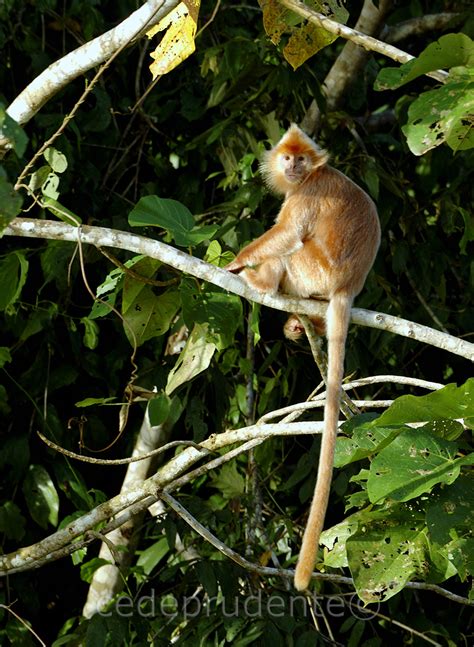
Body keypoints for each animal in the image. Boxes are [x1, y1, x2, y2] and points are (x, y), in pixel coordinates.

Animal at [226, 123, 382, 592]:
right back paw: (302, 323)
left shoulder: (306, 195)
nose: (293, 167)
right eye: (287, 157)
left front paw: (239, 262)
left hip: (315, 271)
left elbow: (287, 233)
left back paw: (262, 281)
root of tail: (347, 286)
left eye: (300, 159)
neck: (312, 176)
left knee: (291, 249)